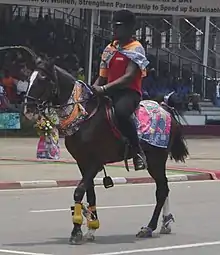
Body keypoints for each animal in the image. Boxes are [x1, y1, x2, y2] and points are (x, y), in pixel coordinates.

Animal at [0, 46, 188, 244]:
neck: (84, 116)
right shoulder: (82, 162)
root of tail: (164, 107)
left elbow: (78, 191)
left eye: (43, 79)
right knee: (164, 188)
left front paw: (76, 230)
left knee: (162, 190)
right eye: (29, 79)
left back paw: (149, 227)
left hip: (156, 159)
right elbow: (89, 193)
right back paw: (165, 224)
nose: (27, 110)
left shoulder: (94, 162)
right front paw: (90, 228)